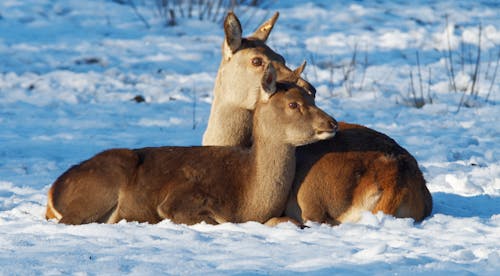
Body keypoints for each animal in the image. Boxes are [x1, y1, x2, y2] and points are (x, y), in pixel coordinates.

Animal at [47, 63, 338, 226]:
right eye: (293, 104)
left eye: (312, 97)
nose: (332, 122)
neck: (249, 197)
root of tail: (53, 191)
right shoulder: (179, 199)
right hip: (96, 192)